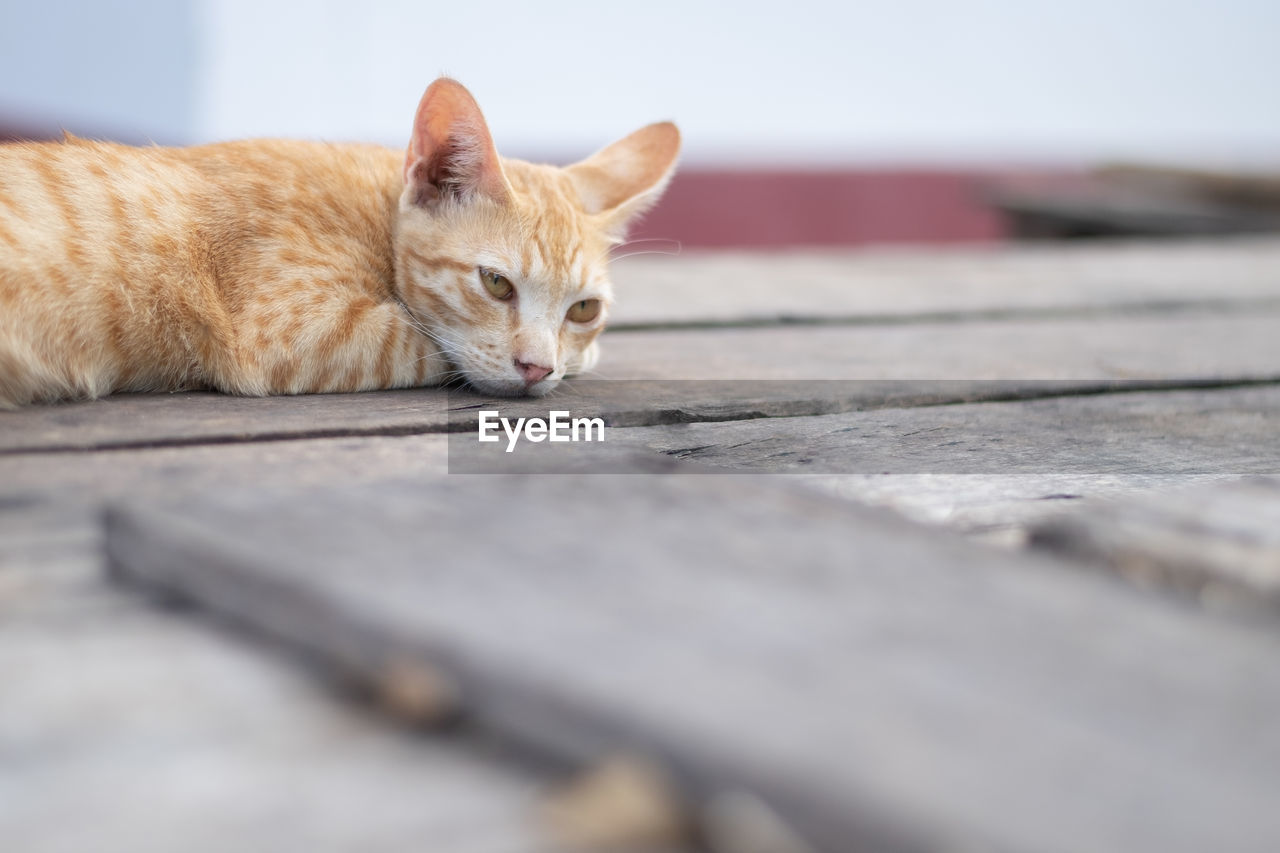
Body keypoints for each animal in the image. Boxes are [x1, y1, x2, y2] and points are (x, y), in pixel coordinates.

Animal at [0, 75, 680, 404]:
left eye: (583, 309)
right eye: (495, 283)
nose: (538, 368)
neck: (373, 214)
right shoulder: (296, 332)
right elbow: (424, 345)